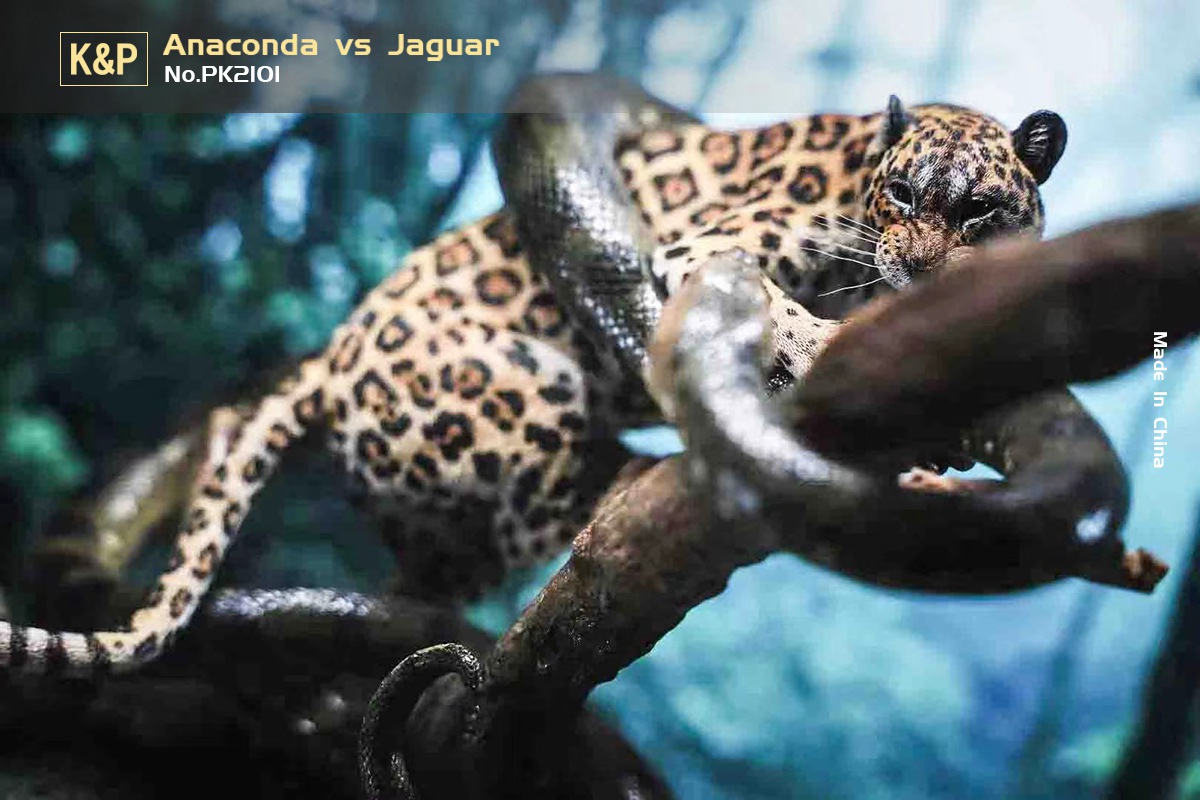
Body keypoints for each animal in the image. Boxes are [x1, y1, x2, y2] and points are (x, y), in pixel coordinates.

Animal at [0, 93, 1067, 676]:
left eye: (978, 210)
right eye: (903, 194)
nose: (919, 266)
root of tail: (327, 367)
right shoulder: (700, 249)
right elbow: (780, 313)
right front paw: (827, 347)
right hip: (531, 380)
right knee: (543, 511)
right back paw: (632, 474)